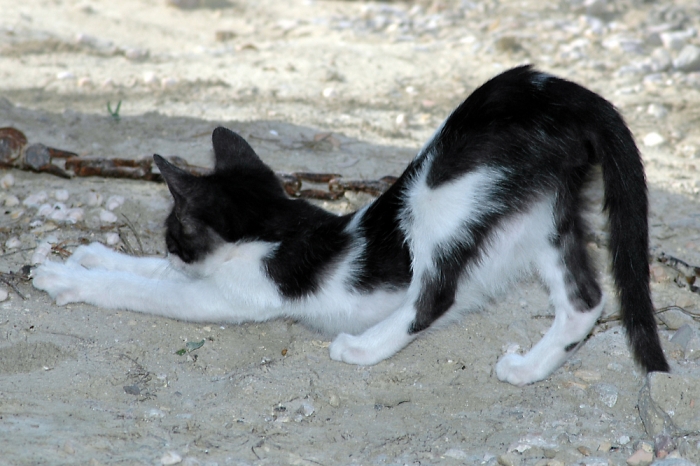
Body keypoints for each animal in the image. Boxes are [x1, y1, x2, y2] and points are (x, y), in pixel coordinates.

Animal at [31, 65, 668, 386]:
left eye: (174, 231)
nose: (171, 250)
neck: (276, 226)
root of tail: (550, 87)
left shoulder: (230, 297)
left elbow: (145, 290)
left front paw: (70, 280)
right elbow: (143, 273)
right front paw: (91, 256)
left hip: (438, 195)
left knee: (435, 293)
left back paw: (366, 347)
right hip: (542, 218)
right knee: (584, 300)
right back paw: (530, 369)